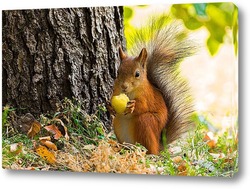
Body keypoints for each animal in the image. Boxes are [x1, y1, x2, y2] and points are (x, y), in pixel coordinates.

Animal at [108, 16, 196, 155]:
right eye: (118, 72)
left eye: (137, 74)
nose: (124, 86)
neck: (130, 92)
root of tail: (159, 146)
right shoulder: (116, 91)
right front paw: (109, 106)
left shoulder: (147, 96)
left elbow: (143, 106)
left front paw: (133, 106)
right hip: (118, 123)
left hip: (146, 122)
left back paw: (148, 154)